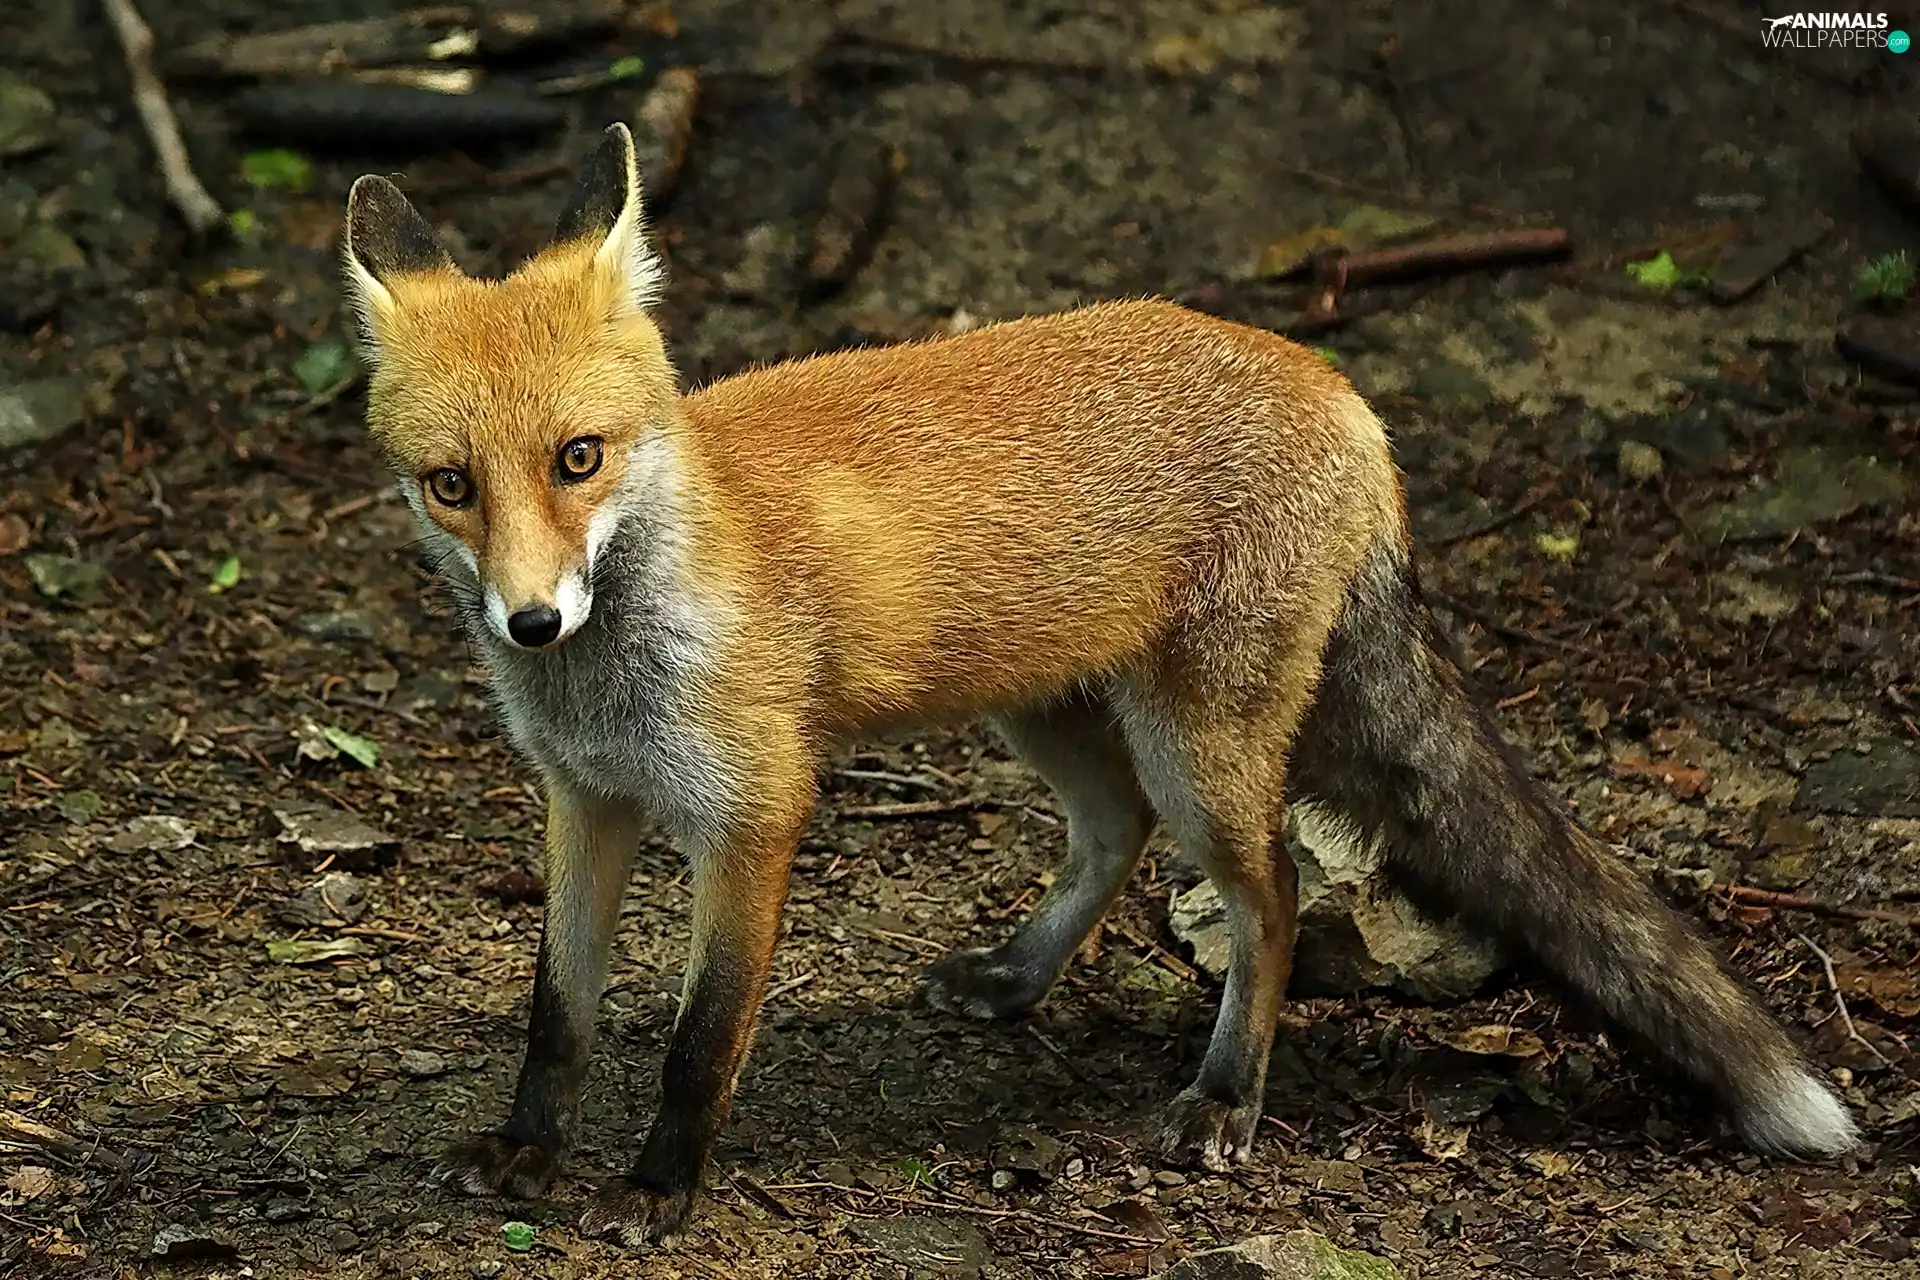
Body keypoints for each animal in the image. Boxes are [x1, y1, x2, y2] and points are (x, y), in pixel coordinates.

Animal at [339, 123, 1860, 1248]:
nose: (533, 621)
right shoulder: (588, 804)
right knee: (1113, 835)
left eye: (580, 458)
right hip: (1050, 708)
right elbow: (558, 1011)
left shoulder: (753, 815)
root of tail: (1332, 378)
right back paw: (1018, 978)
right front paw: (526, 1151)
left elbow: (699, 1036)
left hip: (1201, 747)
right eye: (453, 485)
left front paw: (659, 1189)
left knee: (1272, 896)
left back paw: (1225, 1099)